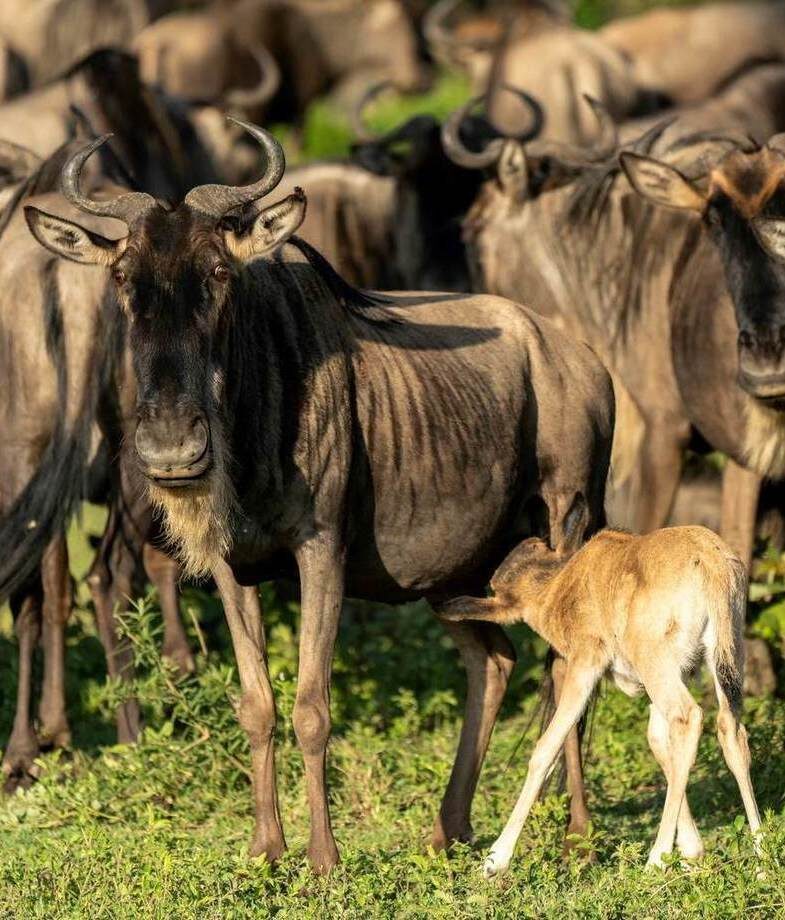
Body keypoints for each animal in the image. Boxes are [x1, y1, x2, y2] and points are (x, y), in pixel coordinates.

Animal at [24, 121, 615, 871]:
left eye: (219, 273)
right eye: (123, 278)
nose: (171, 449)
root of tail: (584, 360)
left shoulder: (322, 552)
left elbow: (311, 706)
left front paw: (324, 861)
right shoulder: (231, 567)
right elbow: (256, 705)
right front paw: (264, 850)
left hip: (570, 519)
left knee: (567, 666)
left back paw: (577, 834)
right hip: (456, 570)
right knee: (493, 663)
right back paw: (448, 830)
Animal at [439, 526, 762, 877]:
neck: (561, 584)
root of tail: (712, 563)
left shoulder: (585, 663)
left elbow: (545, 749)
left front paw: (496, 859)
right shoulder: (681, 672)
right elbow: (659, 742)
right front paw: (692, 850)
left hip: (656, 664)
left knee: (687, 717)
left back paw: (655, 860)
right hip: (724, 656)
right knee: (730, 730)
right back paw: (762, 856)